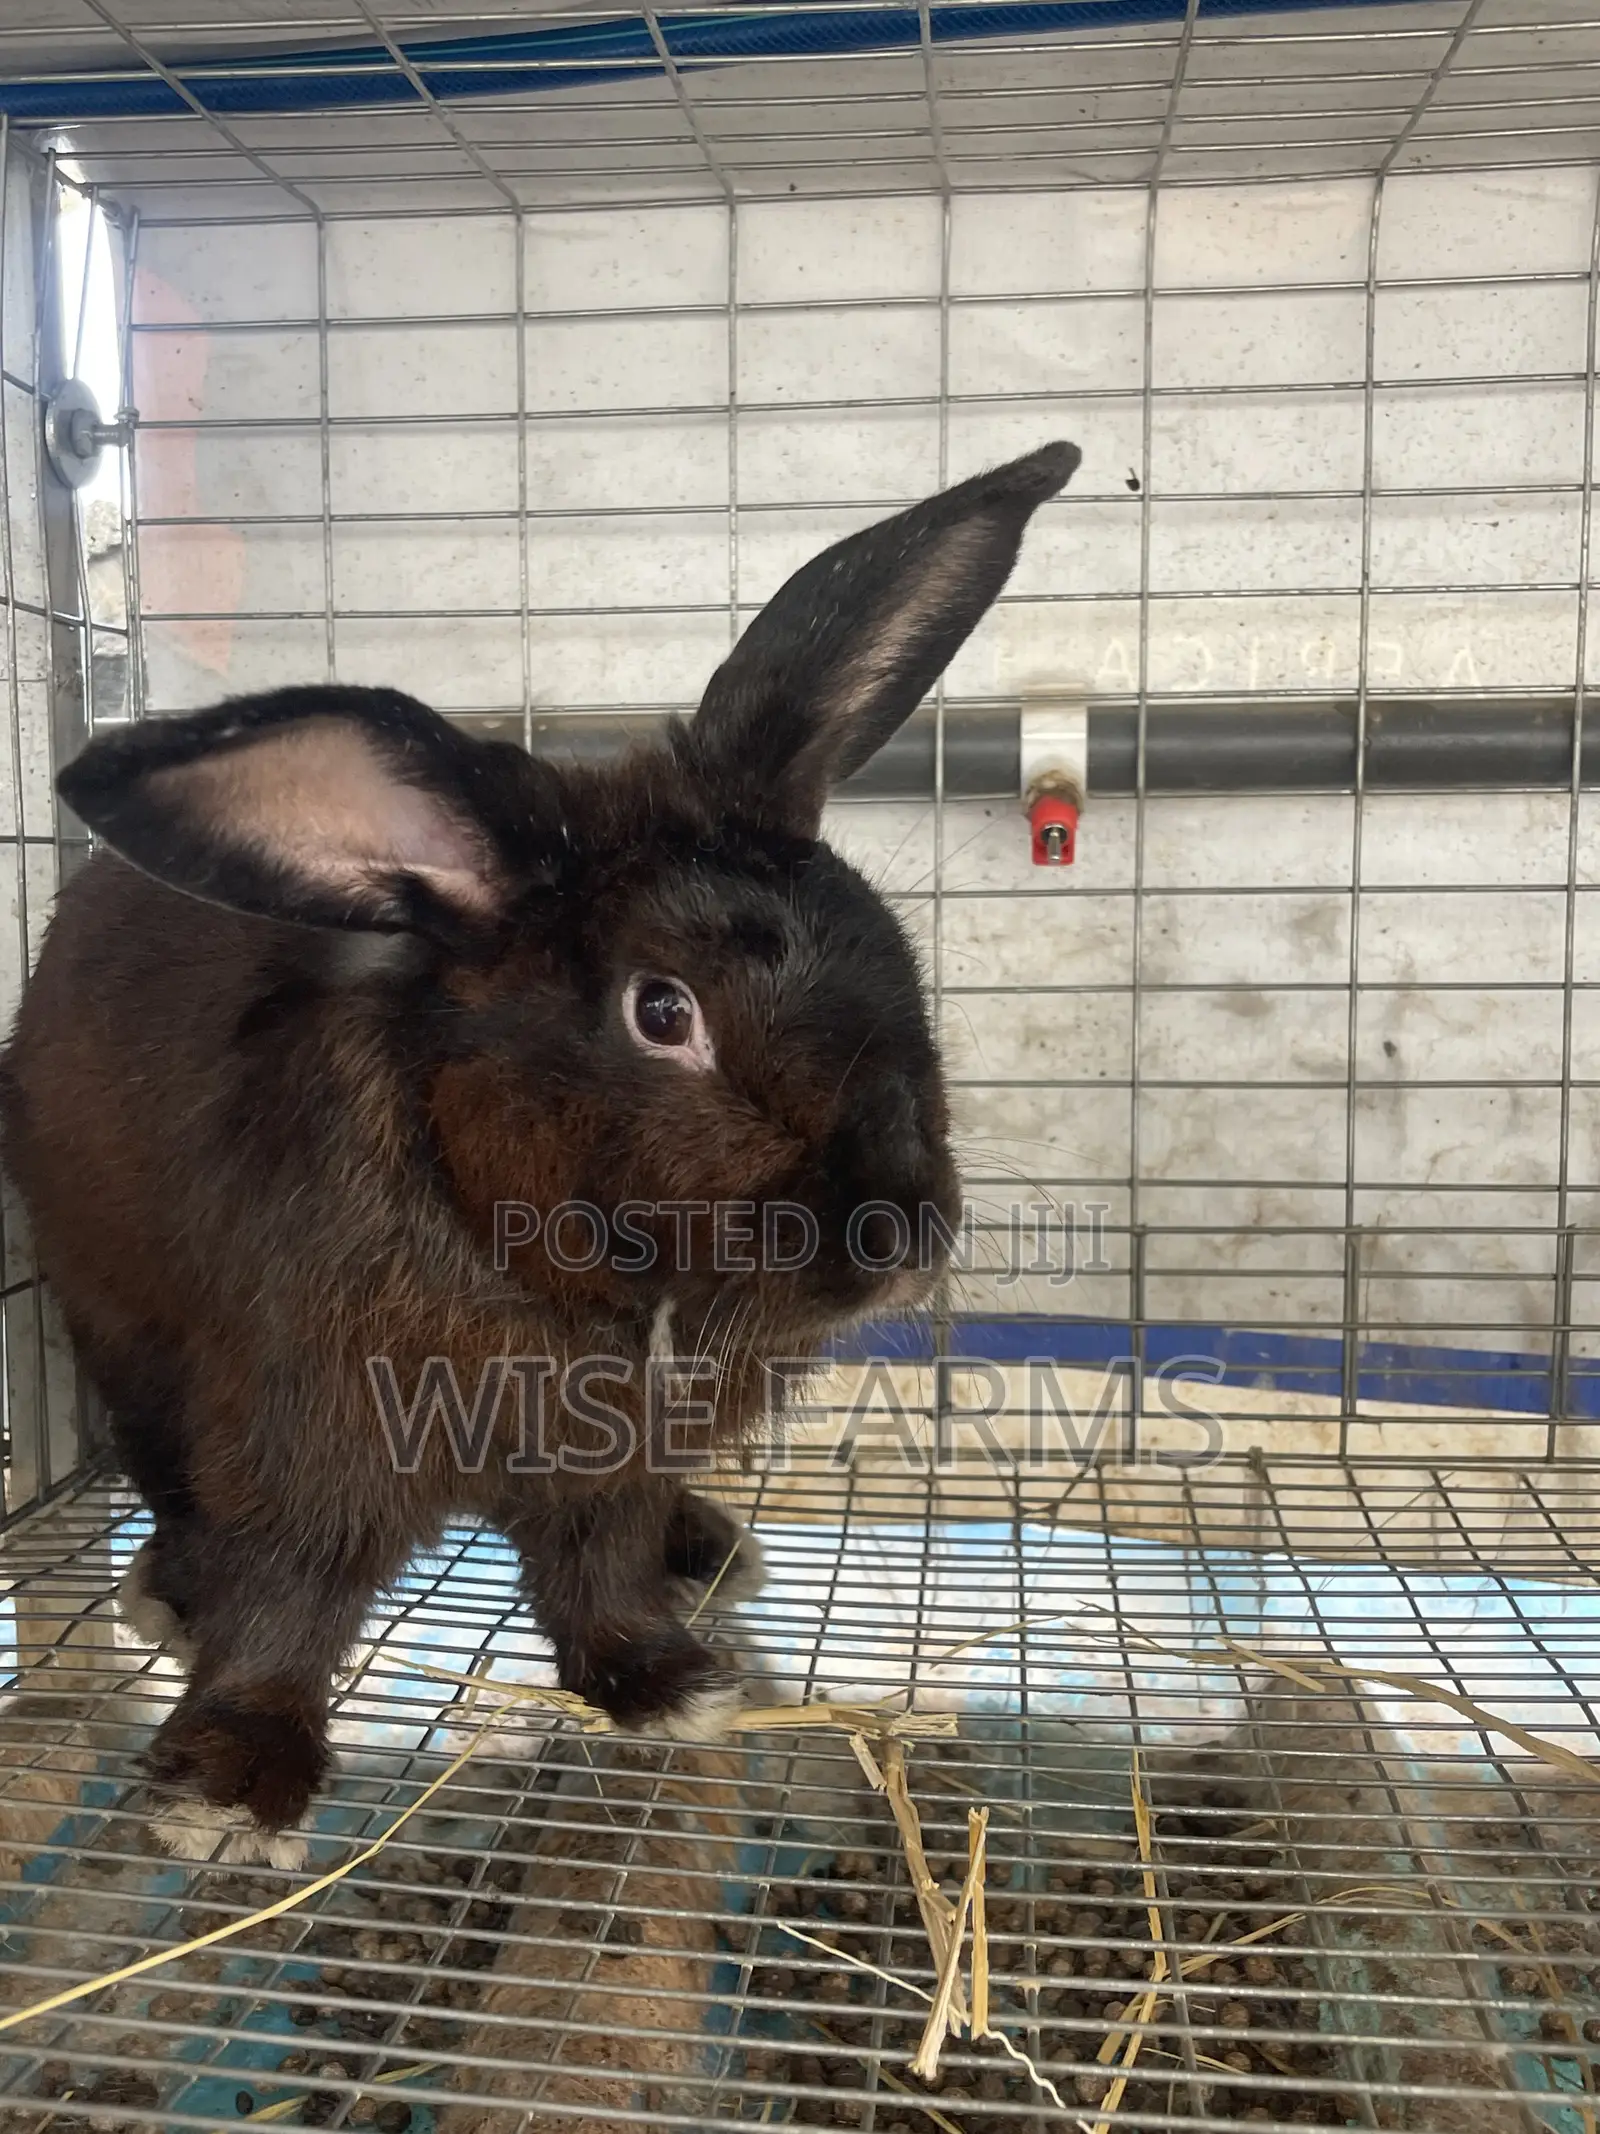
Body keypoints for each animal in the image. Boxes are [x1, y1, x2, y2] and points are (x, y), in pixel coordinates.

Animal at [0, 440, 1080, 1866]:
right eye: (661, 1011)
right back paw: (177, 1592)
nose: (902, 1235)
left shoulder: (608, 1466)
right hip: (116, 1330)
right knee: (177, 1495)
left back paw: (702, 1549)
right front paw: (230, 1793)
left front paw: (665, 1682)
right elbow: (287, 1598)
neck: (543, 1263)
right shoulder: (304, 1434)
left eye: (891, 947)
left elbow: (597, 1569)